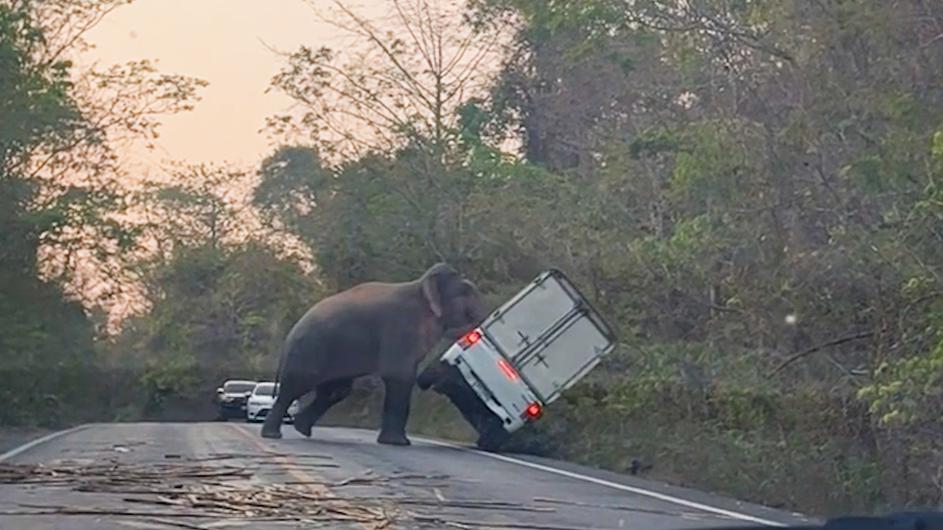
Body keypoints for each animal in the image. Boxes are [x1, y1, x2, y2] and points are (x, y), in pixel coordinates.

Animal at [262, 262, 490, 444]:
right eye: (465, 291)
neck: (420, 285)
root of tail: (290, 334)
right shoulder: (400, 327)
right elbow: (399, 376)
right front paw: (399, 444)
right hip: (309, 352)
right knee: (295, 389)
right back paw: (273, 435)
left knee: (336, 391)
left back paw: (302, 429)